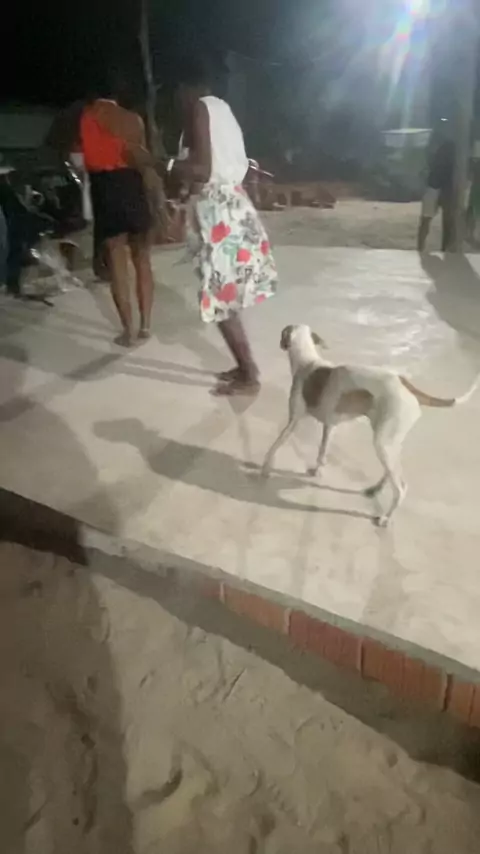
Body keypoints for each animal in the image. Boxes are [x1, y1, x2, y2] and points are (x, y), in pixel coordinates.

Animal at [262, 325, 478, 526]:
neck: (308, 361)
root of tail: (406, 385)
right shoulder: (330, 426)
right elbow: (322, 451)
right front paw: (316, 471)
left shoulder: (293, 421)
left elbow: (274, 446)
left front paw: (265, 470)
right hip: (390, 443)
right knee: (391, 473)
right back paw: (375, 489)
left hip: (382, 444)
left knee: (401, 488)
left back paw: (385, 518)